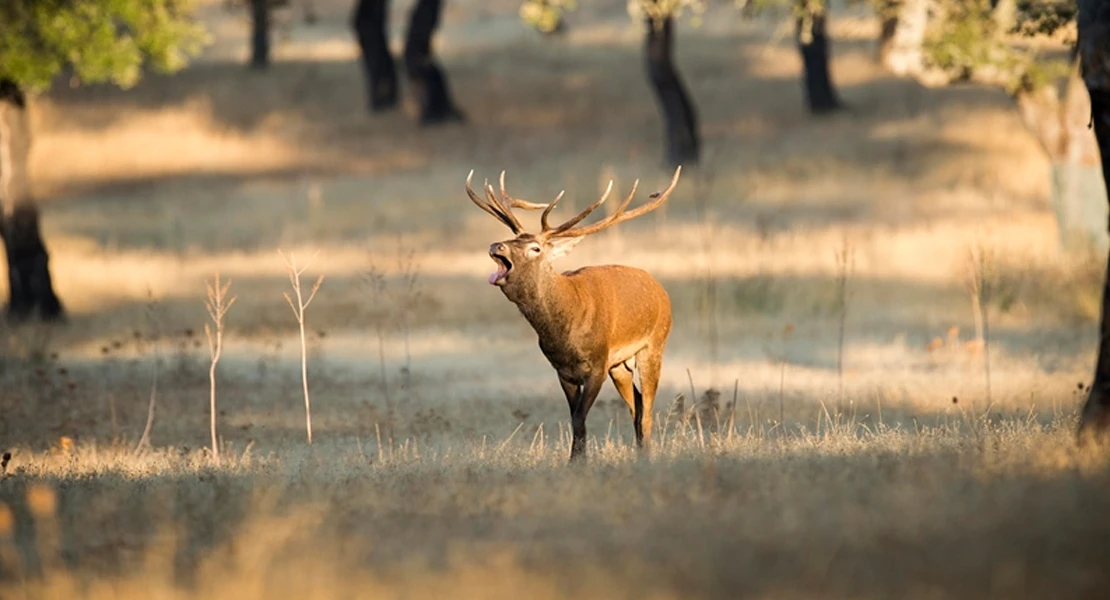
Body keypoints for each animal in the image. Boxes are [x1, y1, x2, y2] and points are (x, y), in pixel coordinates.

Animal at [463, 166, 679, 461]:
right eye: (512, 239)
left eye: (535, 248)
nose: (497, 245)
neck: (564, 332)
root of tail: (661, 289)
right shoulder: (562, 370)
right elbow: (576, 419)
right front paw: (577, 461)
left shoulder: (597, 365)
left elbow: (579, 418)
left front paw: (576, 462)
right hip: (620, 365)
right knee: (636, 407)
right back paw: (640, 455)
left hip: (654, 344)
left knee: (646, 410)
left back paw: (647, 457)